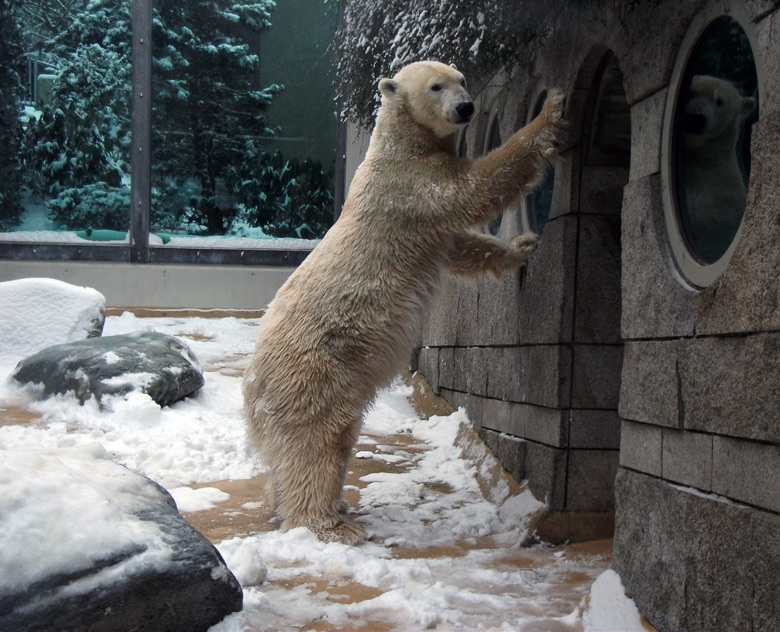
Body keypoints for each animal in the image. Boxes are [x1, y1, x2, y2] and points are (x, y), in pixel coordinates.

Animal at [244, 60, 568, 544]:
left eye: (462, 81)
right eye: (436, 86)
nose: (466, 107)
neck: (398, 146)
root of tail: (252, 388)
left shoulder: (423, 210)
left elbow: (462, 246)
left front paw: (521, 248)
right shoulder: (411, 189)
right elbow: (474, 186)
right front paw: (551, 113)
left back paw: (309, 505)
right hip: (317, 370)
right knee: (319, 440)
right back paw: (328, 525)